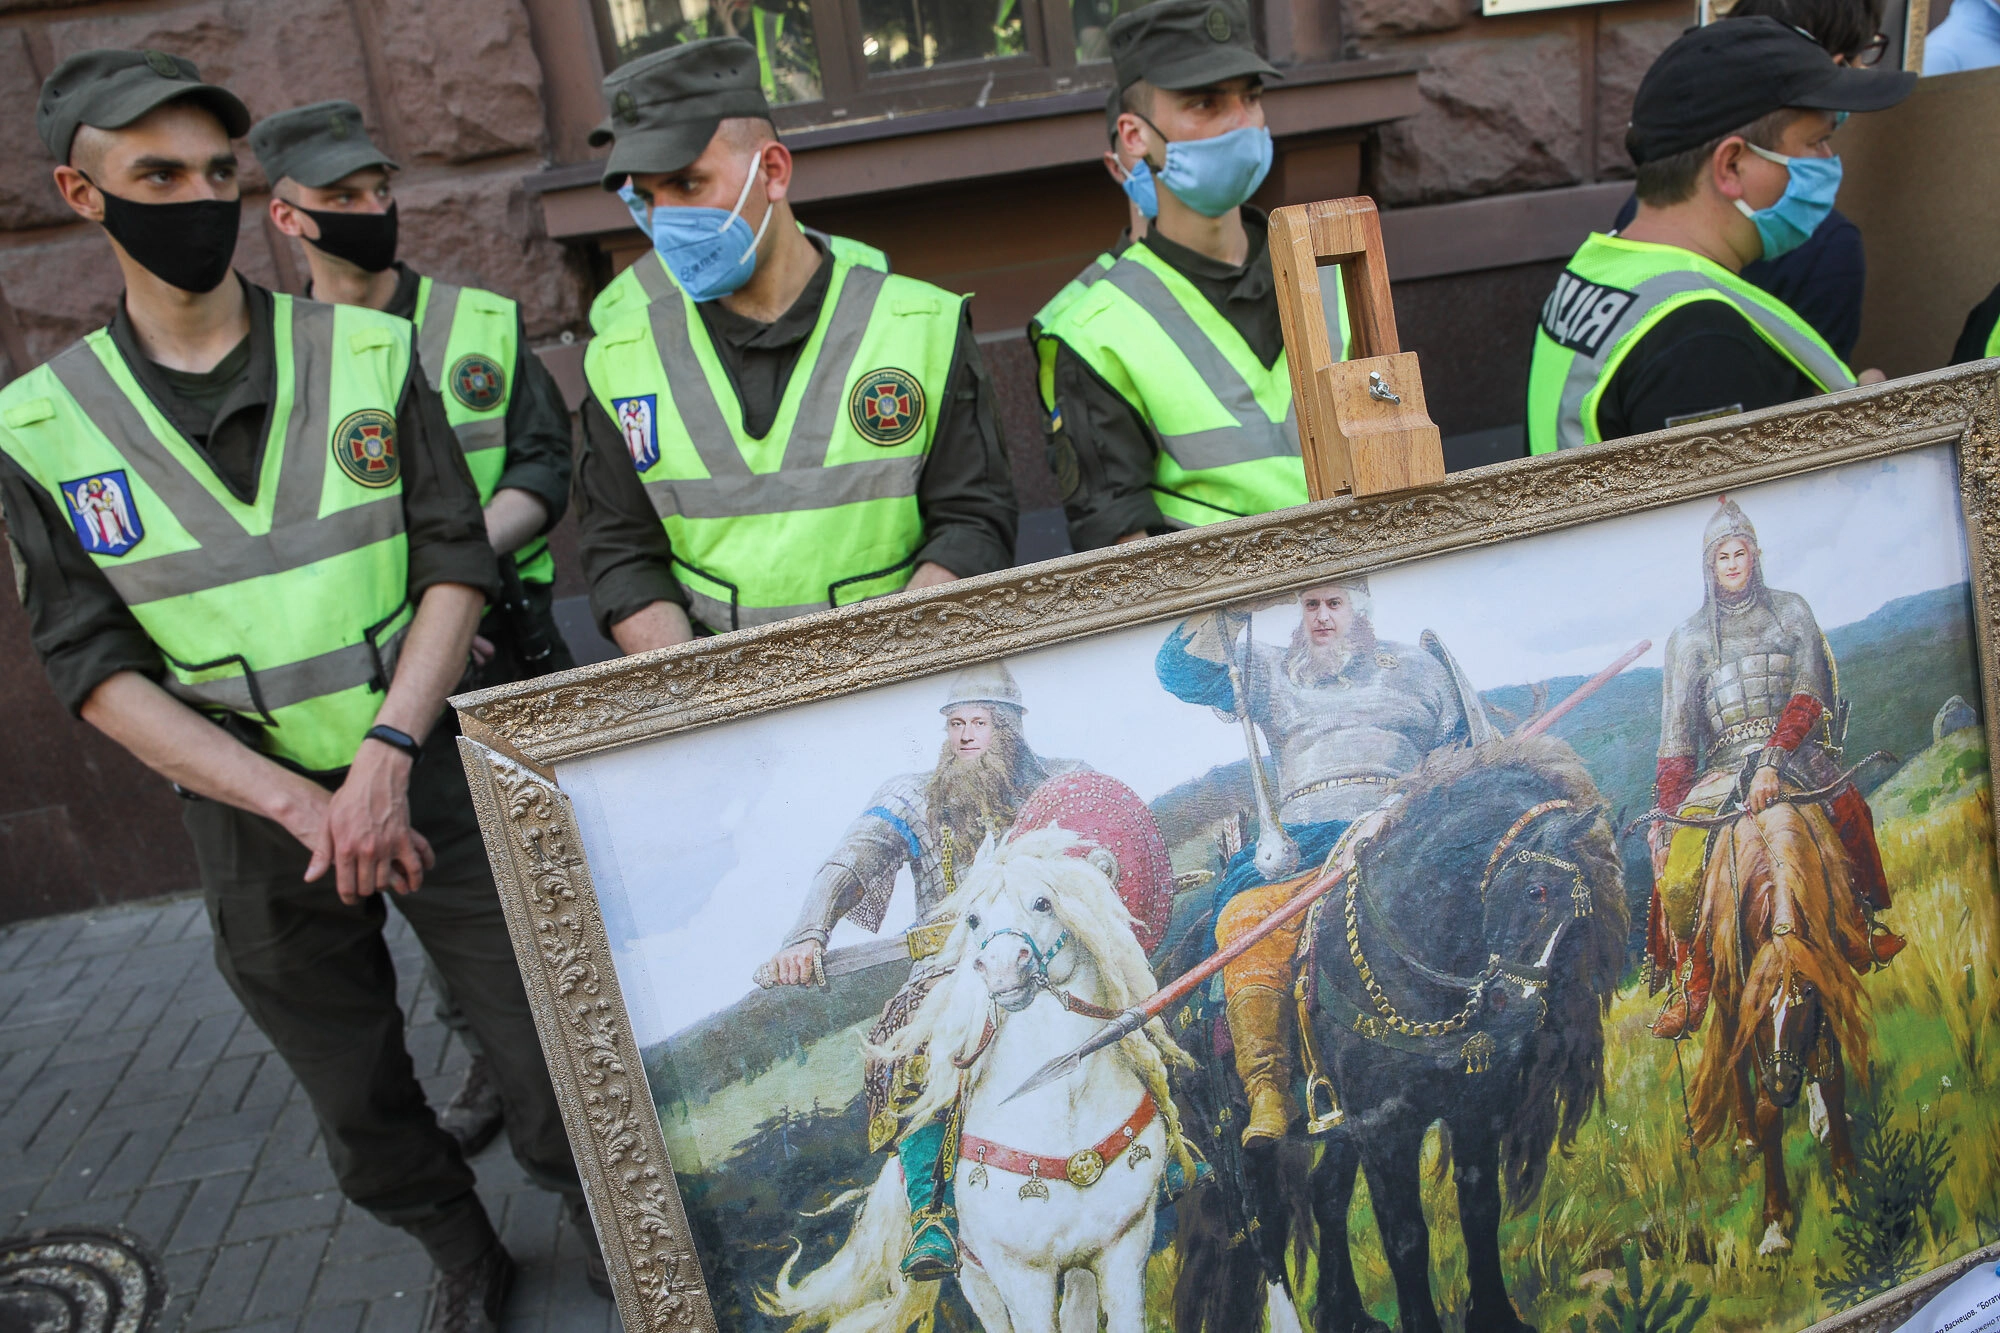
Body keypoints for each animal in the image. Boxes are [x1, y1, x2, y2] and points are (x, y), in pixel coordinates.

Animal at [752, 824, 1184, 1320]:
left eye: (1043, 903)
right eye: (974, 919)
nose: (1001, 969)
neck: (1061, 1103)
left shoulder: (1123, 1248)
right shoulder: (1019, 1273)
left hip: (1077, 1266)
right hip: (976, 1277)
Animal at [1304, 736, 1632, 1328]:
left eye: (1583, 928)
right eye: (1536, 891)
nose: (1513, 1011)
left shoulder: (1478, 1106)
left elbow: (1480, 1207)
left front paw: (1496, 1315)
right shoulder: (1382, 1126)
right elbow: (1406, 1237)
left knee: (1326, 1193)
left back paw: (1342, 1312)